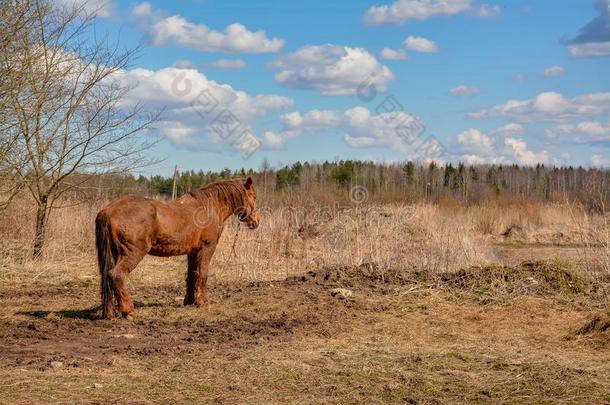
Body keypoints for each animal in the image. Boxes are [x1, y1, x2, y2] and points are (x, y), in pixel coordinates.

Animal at [95, 177, 258, 318]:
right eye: (253, 196)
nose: (256, 221)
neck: (209, 206)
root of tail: (109, 210)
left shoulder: (192, 252)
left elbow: (192, 275)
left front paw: (190, 301)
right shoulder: (206, 249)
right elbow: (202, 274)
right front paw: (202, 302)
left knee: (108, 277)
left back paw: (110, 312)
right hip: (132, 253)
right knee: (116, 275)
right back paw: (128, 310)